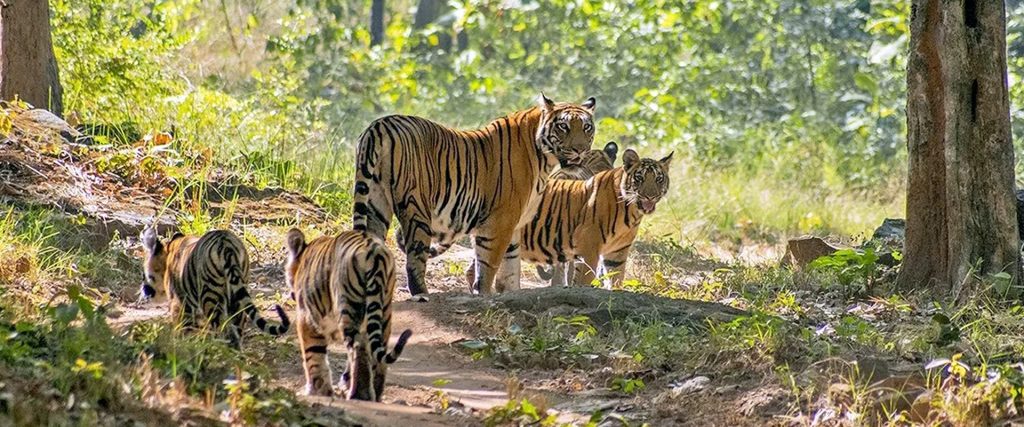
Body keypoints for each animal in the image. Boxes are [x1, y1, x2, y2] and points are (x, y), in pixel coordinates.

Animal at [139, 228, 290, 348]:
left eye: (144, 275)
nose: (144, 290)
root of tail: (226, 245)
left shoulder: (179, 303)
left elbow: (183, 327)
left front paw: (180, 344)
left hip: (210, 295)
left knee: (220, 327)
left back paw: (219, 348)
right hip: (237, 295)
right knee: (236, 327)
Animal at [284, 228, 413, 401]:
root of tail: (375, 252)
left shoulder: (307, 318)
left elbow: (313, 355)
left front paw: (316, 391)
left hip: (348, 308)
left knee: (358, 349)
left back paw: (359, 395)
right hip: (384, 312)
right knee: (377, 354)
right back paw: (375, 395)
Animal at [352, 93, 597, 299]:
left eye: (586, 127)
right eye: (563, 126)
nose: (580, 150)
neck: (545, 160)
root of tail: (380, 125)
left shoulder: (515, 225)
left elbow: (510, 268)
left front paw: (511, 294)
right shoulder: (499, 223)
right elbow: (488, 266)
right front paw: (485, 295)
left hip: (376, 203)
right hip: (416, 207)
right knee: (415, 257)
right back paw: (421, 294)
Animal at [468, 149, 672, 288]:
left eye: (659, 179)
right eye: (639, 178)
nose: (650, 197)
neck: (632, 211)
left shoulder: (617, 253)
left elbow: (615, 280)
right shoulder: (589, 248)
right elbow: (583, 280)